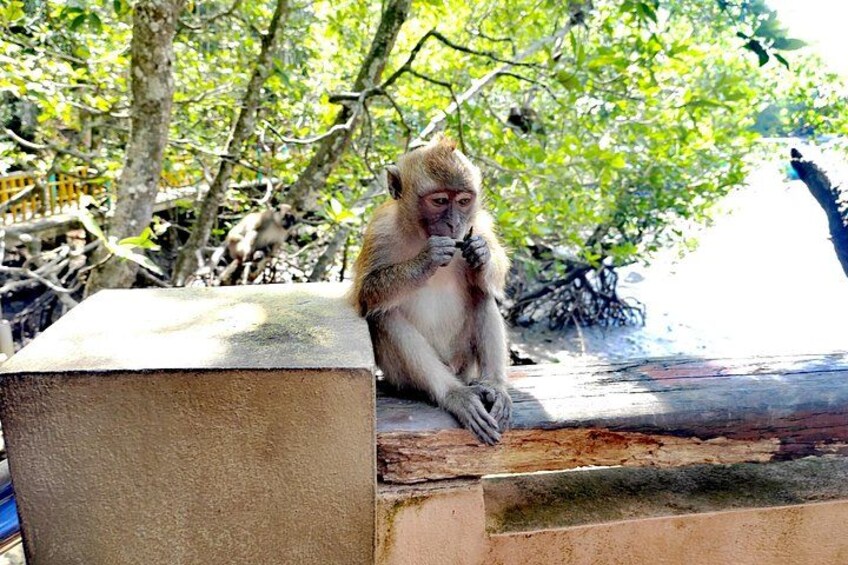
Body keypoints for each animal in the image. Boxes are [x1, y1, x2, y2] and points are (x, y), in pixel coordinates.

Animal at [351, 136, 512, 445]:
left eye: (463, 201)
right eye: (439, 201)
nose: (453, 223)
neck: (419, 233)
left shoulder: (478, 225)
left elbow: (495, 277)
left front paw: (481, 253)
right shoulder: (380, 232)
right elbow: (366, 295)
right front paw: (427, 259)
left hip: (463, 361)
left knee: (481, 293)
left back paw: (494, 385)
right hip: (401, 376)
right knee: (385, 316)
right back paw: (454, 394)